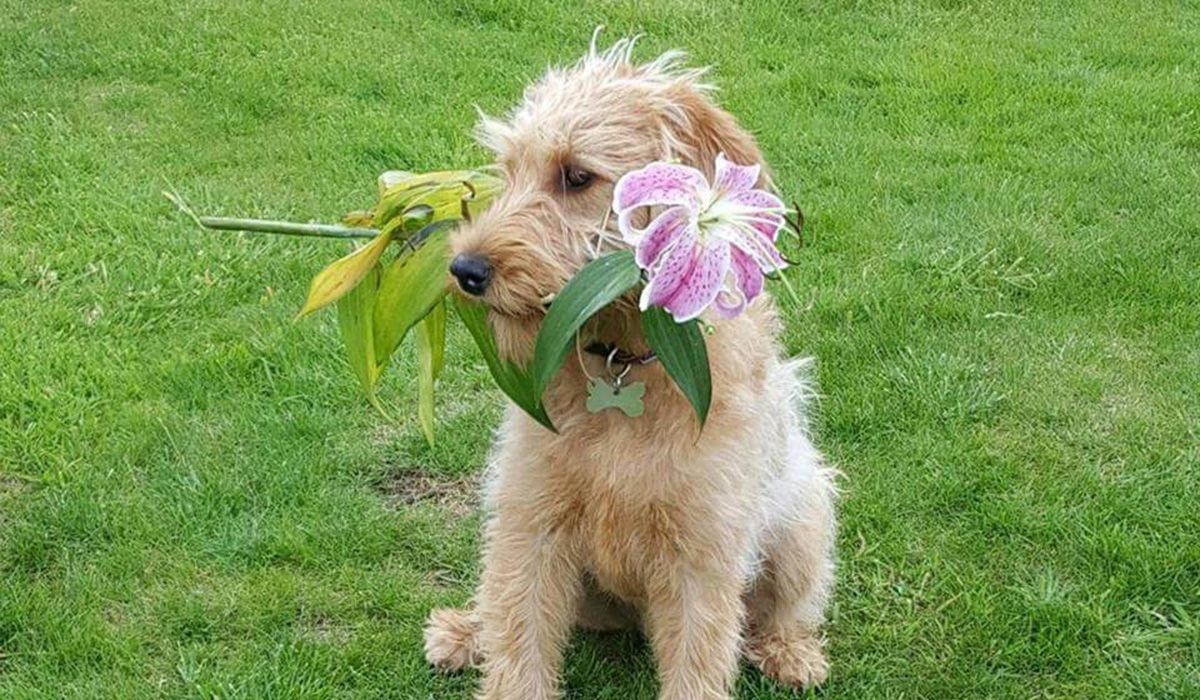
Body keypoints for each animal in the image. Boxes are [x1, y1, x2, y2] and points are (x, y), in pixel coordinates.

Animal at [422, 36, 835, 700]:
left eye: (576, 176)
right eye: (508, 171)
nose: (465, 270)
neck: (624, 365)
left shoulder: (703, 554)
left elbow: (699, 663)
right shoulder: (529, 521)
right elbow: (517, 639)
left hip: (805, 519)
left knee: (786, 606)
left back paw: (790, 652)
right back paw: (465, 632)